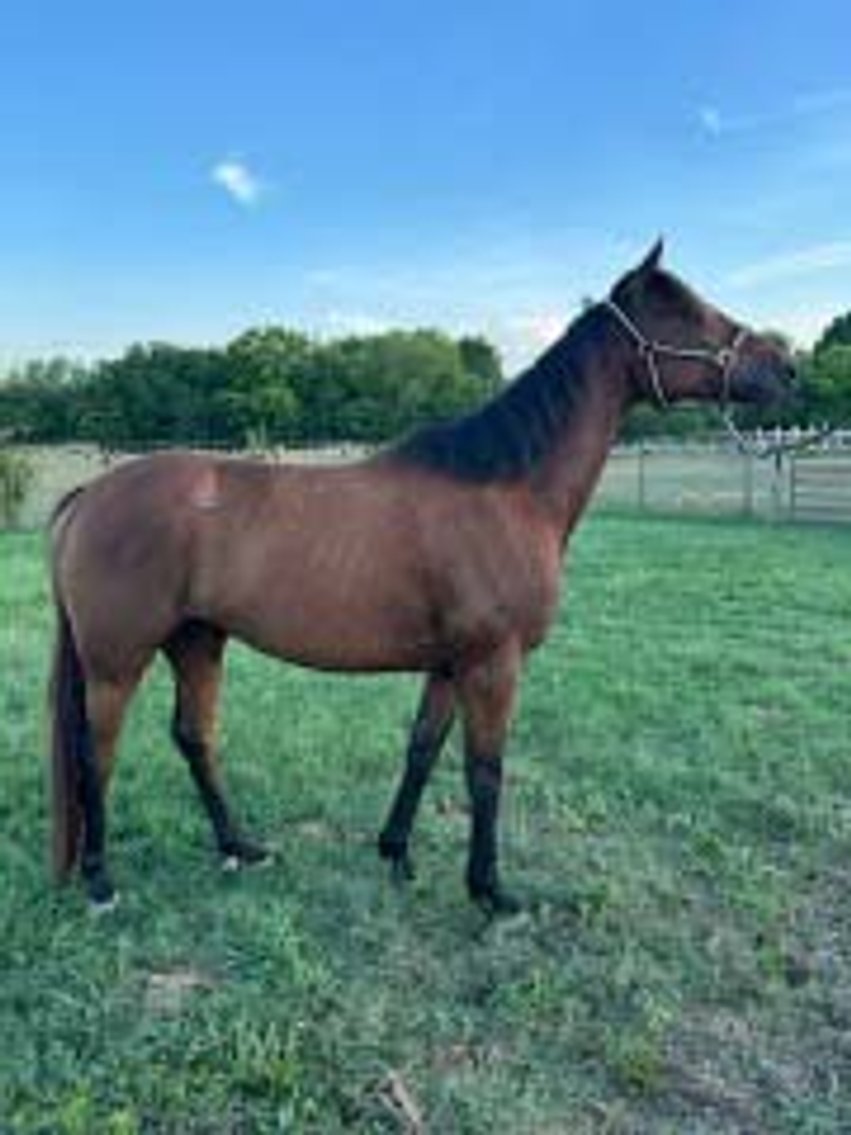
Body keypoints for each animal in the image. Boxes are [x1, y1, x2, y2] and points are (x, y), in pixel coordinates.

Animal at [48, 240, 795, 913]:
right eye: (684, 312)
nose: (786, 368)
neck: (504, 488)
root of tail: (89, 494)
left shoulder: (449, 664)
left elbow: (422, 750)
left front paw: (396, 852)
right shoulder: (493, 663)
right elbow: (485, 770)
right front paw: (491, 891)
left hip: (198, 640)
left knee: (193, 737)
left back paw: (241, 847)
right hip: (118, 660)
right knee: (95, 752)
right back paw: (101, 881)